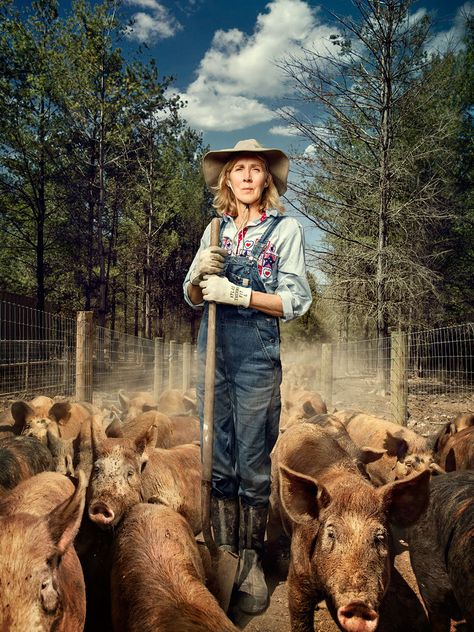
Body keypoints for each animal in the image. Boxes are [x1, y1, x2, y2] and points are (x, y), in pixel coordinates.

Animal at [268, 420, 432, 632]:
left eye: (379, 537)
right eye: (331, 533)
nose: (358, 606)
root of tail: (300, 425)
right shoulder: (297, 575)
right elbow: (299, 617)